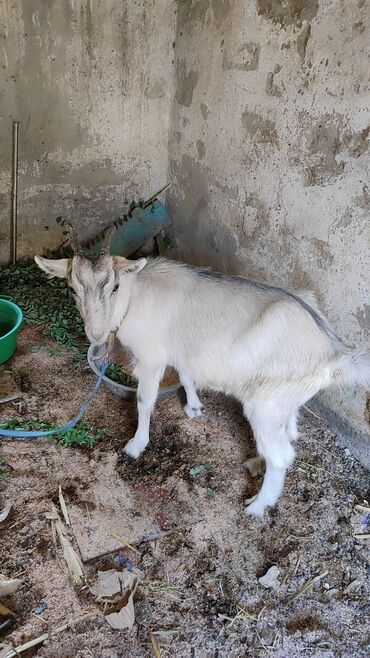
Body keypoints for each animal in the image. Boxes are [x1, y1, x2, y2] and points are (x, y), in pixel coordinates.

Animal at [35, 240, 370, 512]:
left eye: (114, 287)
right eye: (72, 289)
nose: (96, 334)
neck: (134, 297)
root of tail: (334, 351)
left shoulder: (151, 358)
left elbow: (145, 401)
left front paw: (136, 445)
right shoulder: (182, 349)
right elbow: (186, 374)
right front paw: (194, 407)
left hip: (264, 404)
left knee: (281, 456)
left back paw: (257, 505)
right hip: (283, 398)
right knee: (288, 431)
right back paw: (262, 459)